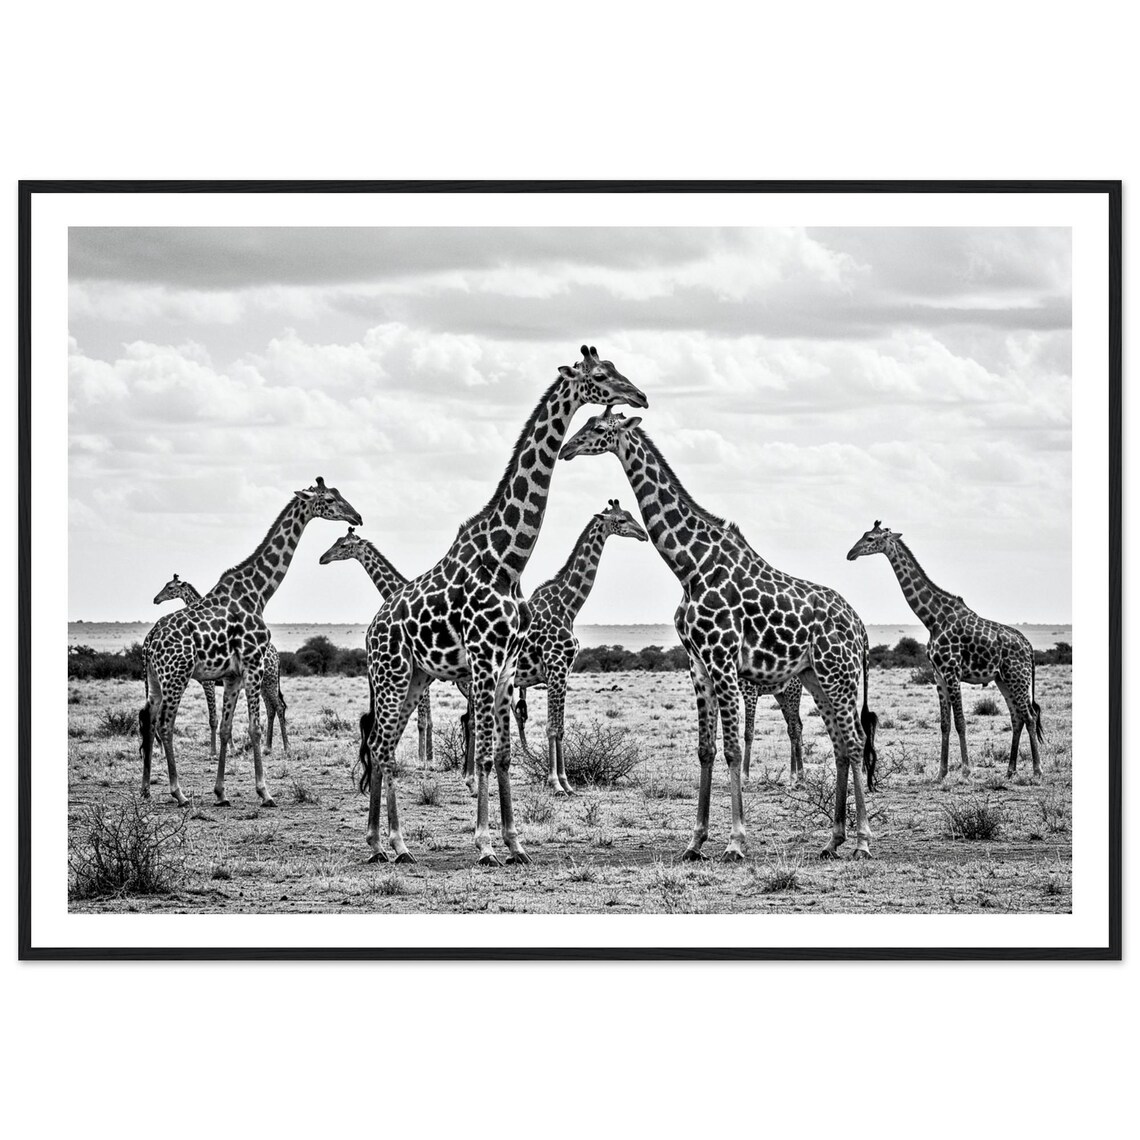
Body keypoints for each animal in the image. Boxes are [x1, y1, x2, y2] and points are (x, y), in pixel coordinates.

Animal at [149, 574, 290, 756]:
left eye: (170, 587)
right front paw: (231, 748)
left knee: (279, 707)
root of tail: (277, 656)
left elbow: (214, 718)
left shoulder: (208, 683)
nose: (156, 599)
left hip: (270, 681)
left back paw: (287, 747)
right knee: (271, 708)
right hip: (264, 684)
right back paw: (267, 747)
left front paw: (214, 751)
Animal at [492, 498, 649, 795]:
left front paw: (567, 783)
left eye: (631, 514)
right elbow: (552, 728)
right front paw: (555, 784)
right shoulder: (555, 668)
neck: (568, 606)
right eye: (621, 520)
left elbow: (561, 727)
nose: (643, 534)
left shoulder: (564, 671)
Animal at [560, 409, 878, 860]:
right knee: (838, 742)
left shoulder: (723, 659)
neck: (690, 567)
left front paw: (736, 841)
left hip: (840, 672)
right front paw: (695, 842)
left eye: (600, 429)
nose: (567, 449)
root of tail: (861, 628)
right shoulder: (697, 663)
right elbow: (706, 750)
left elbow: (732, 749)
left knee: (853, 740)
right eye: (584, 422)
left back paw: (863, 841)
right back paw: (833, 839)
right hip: (815, 676)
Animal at [846, 521, 1044, 778]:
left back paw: (1037, 770)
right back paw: (1010, 771)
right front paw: (941, 773)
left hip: (1017, 677)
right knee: (1017, 718)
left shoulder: (952, 671)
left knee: (1029, 716)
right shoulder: (938, 675)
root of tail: (1029, 648)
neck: (932, 619)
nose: (851, 553)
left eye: (870, 538)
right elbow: (944, 724)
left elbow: (960, 721)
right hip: (1003, 679)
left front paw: (966, 771)